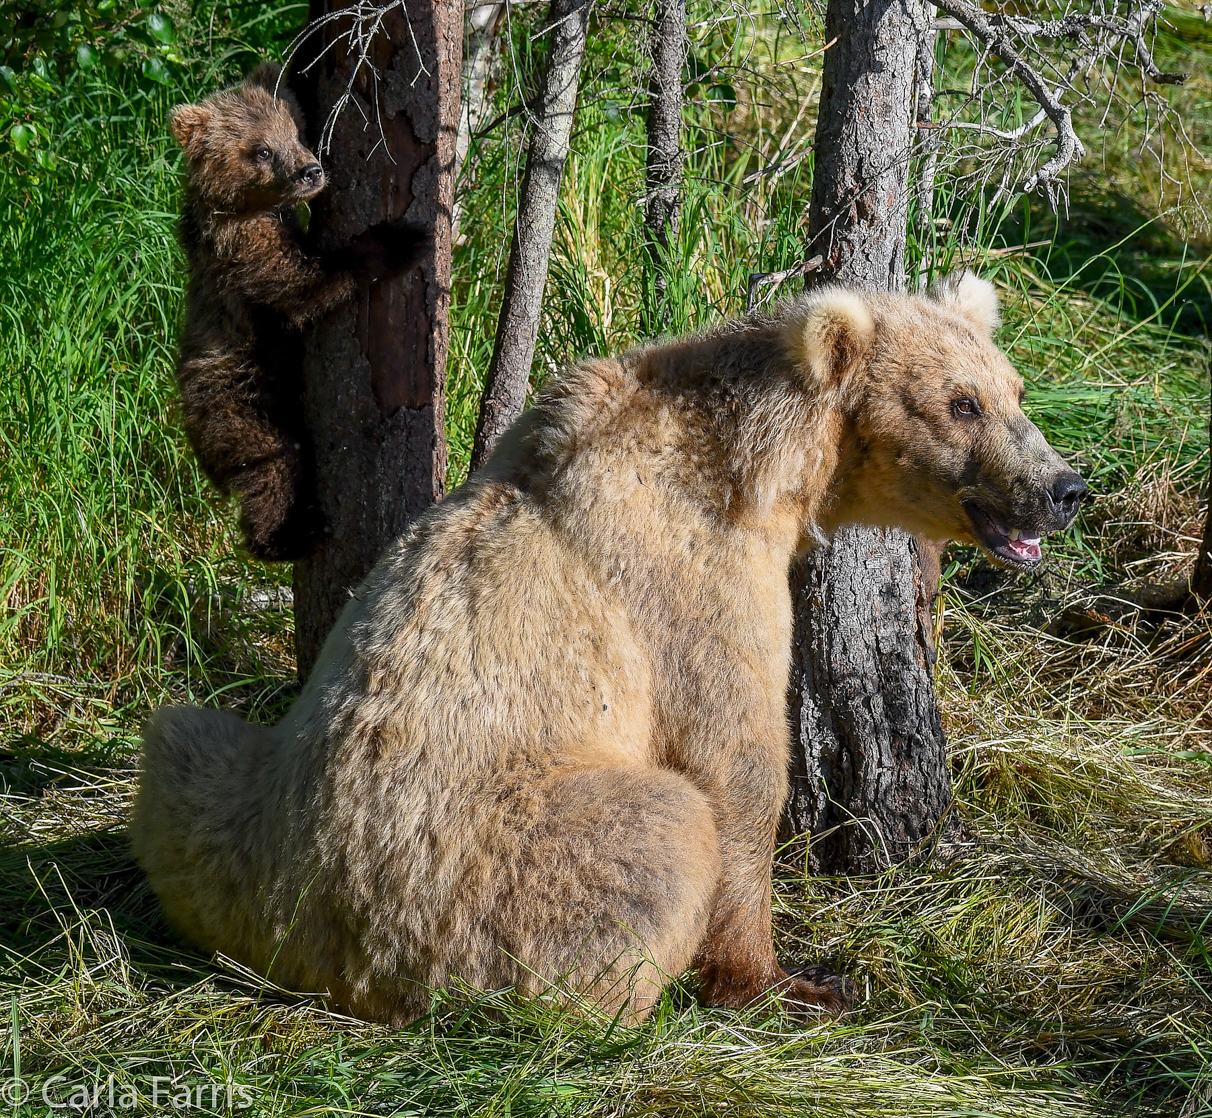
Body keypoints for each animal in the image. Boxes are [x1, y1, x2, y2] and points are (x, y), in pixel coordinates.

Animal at [132, 270, 1090, 1018]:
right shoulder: (690, 575)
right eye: (961, 403)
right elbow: (734, 761)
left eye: (1014, 391)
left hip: (224, 802)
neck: (760, 466)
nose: (1064, 487)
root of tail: (310, 947)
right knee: (660, 830)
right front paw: (785, 979)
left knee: (181, 736)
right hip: (472, 863)